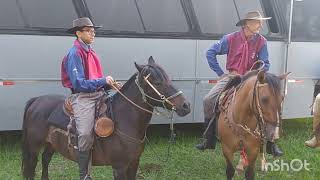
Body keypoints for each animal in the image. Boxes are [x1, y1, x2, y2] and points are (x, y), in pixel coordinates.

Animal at [21, 56, 191, 180]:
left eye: (168, 78)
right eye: (157, 82)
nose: (186, 105)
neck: (125, 121)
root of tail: (36, 100)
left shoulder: (134, 163)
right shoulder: (119, 167)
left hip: (51, 144)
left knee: (45, 159)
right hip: (34, 147)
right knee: (31, 167)